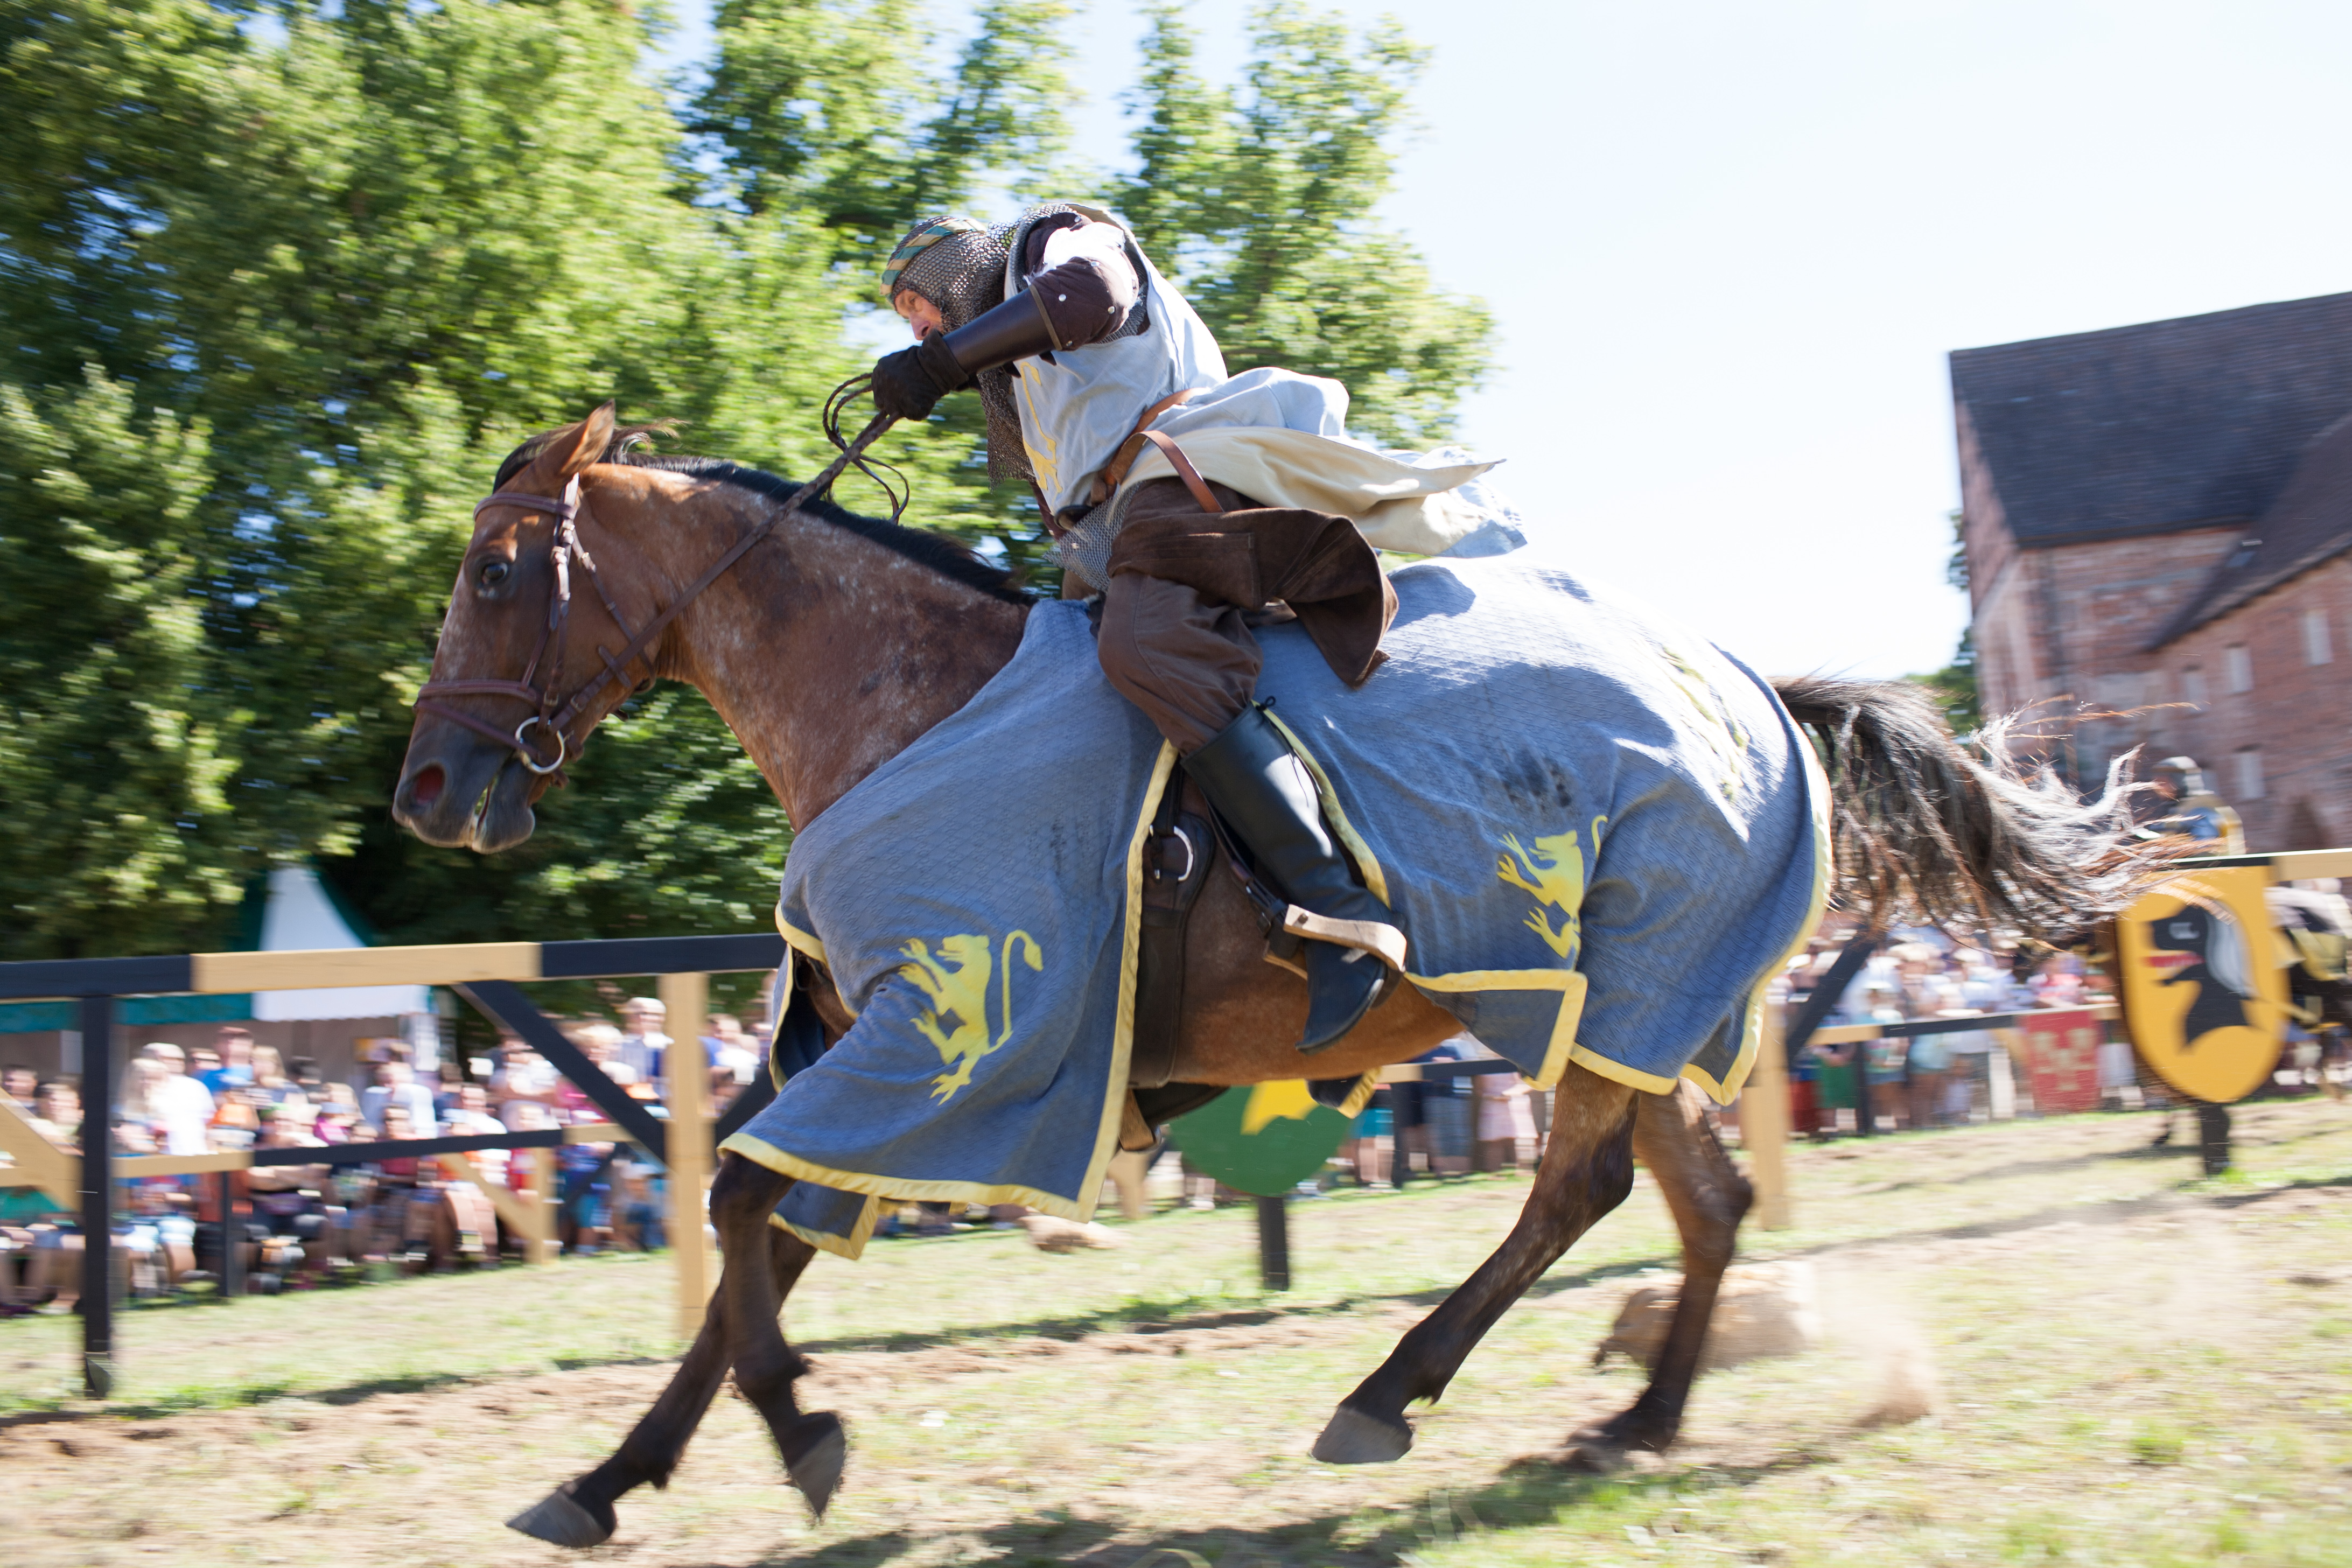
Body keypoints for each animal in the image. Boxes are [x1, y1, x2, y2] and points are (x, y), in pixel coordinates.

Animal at [391, 404, 2150, 1547]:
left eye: (495, 574)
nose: (427, 791)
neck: (900, 701)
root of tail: (1761, 698)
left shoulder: (951, 1041)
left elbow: (746, 1202)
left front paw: (804, 1430)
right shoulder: (863, 1050)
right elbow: (747, 1234)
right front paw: (609, 1479)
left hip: (1621, 994)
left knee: (1581, 1192)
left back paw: (1396, 1391)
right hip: (1629, 1012)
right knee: (1696, 1201)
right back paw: (1637, 1418)